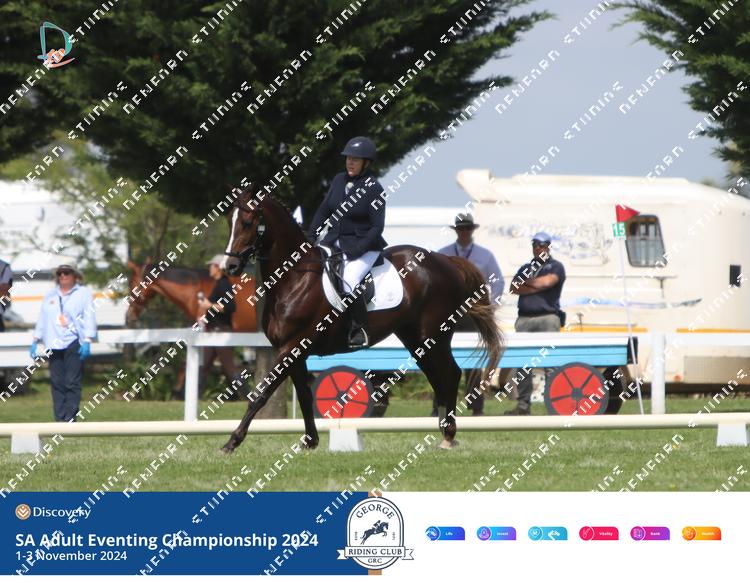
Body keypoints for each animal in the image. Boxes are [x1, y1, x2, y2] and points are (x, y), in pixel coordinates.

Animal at [220, 189, 503, 452]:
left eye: (247, 222)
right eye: (229, 222)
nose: (230, 266)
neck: (293, 278)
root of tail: (447, 261)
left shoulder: (292, 346)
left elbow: (261, 394)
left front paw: (232, 442)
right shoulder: (293, 351)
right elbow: (303, 396)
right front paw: (310, 442)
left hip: (433, 335)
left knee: (451, 375)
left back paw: (449, 435)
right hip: (415, 339)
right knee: (439, 378)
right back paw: (444, 432)